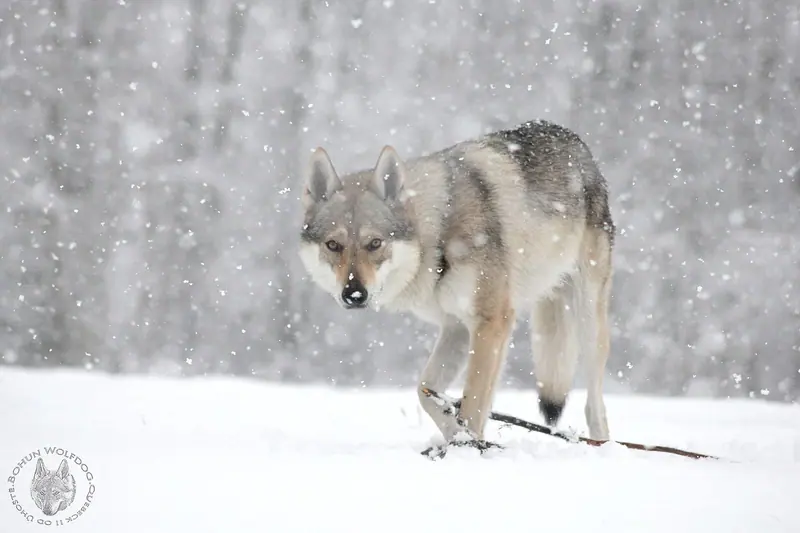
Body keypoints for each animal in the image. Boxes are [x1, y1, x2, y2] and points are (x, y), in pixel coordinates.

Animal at [298, 119, 615, 447]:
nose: (354, 294)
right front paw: (457, 440)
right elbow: (426, 392)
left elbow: (473, 405)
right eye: (333, 245)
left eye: (374, 243)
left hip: (589, 322)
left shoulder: (492, 323)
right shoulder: (456, 327)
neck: (438, 234)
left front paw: (471, 448)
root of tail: (571, 137)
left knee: (595, 405)